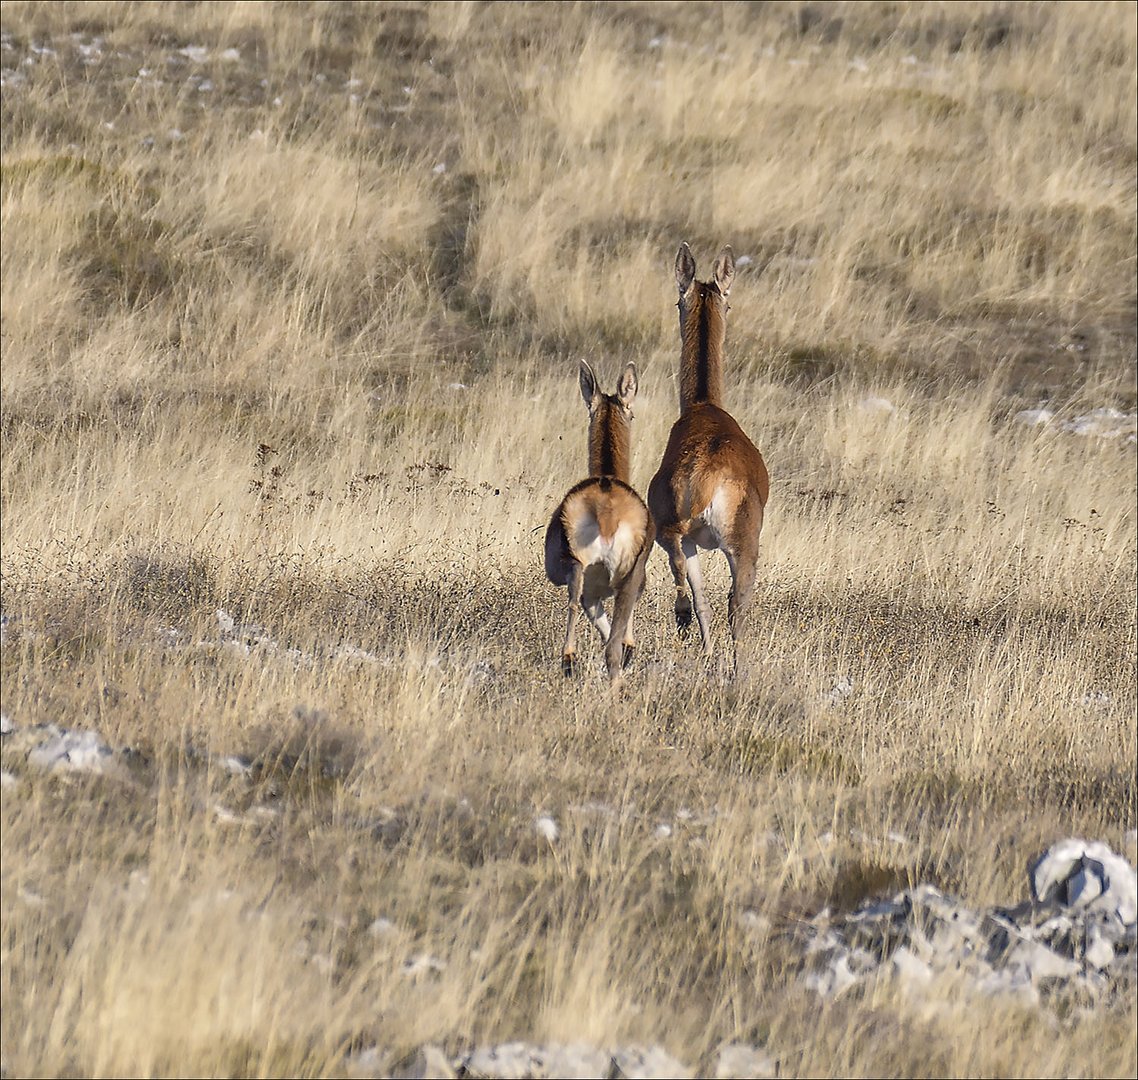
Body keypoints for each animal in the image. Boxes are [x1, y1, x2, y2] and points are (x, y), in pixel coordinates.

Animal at [546, 361, 655, 682]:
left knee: (576, 605)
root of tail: (606, 508)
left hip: (581, 569)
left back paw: (570, 660)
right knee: (612, 641)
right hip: (619, 577)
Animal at [646, 244, 769, 660]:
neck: (703, 407)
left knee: (704, 601)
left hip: (691, 541)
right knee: (734, 606)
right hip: (735, 547)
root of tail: (705, 477)